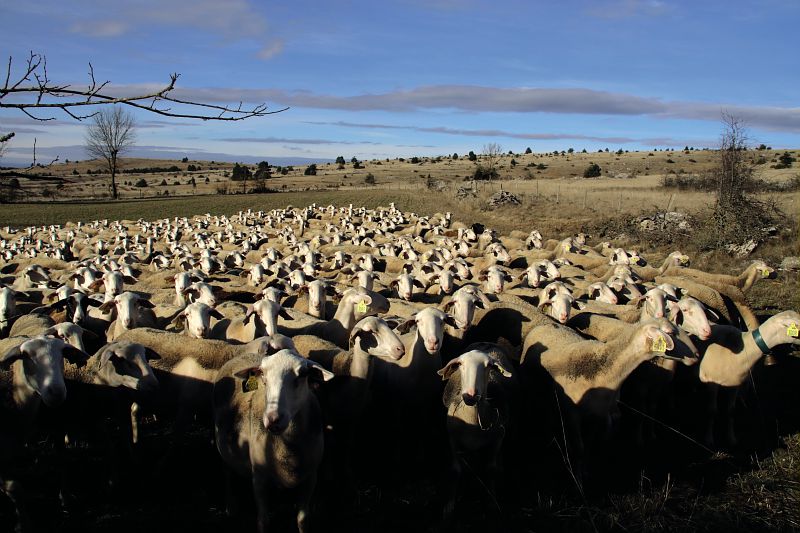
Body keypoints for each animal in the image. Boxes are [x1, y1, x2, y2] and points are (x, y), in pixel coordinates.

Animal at [211, 350, 332, 532]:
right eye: (263, 376)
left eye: (302, 375)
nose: (273, 419)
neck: (288, 448)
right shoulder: (259, 478)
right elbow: (263, 521)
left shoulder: (310, 477)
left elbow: (302, 520)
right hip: (223, 448)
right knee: (227, 474)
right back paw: (231, 507)